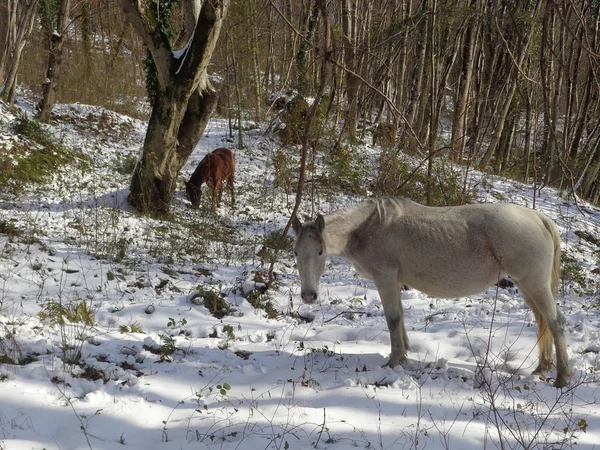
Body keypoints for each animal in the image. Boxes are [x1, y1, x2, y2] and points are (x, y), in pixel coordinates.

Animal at [290, 197, 572, 386]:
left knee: (556, 322)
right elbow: (400, 317)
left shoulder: (385, 279)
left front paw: (394, 361)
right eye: (295, 252)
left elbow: (392, 319)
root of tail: (540, 218)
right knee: (543, 322)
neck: (369, 227)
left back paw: (562, 378)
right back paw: (542, 368)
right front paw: (406, 353)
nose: (308, 295)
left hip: (533, 283)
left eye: (320, 252)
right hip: (527, 286)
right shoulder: (394, 282)